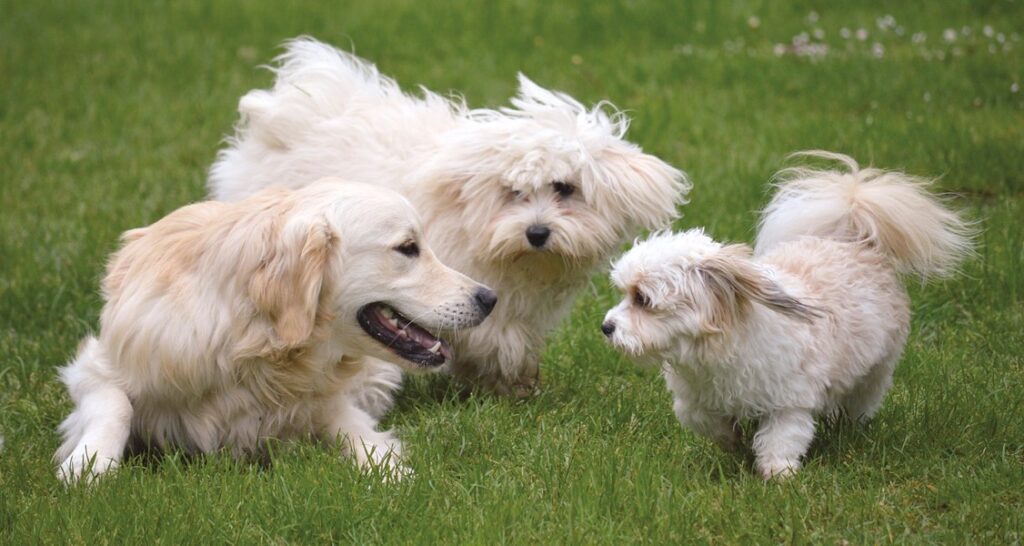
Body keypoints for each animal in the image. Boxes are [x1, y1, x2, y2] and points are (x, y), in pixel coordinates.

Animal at [56, 180, 495, 481]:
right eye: (407, 248)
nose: (489, 298)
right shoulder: (96, 364)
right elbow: (116, 404)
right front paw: (89, 465)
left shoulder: (328, 402)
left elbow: (355, 431)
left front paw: (391, 470)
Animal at [602, 152, 970, 477]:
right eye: (623, 292)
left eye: (642, 299)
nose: (606, 327)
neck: (719, 344)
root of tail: (856, 239)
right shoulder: (695, 398)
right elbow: (701, 419)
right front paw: (732, 439)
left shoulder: (789, 400)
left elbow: (782, 437)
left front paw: (778, 473)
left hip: (876, 369)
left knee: (861, 400)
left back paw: (850, 429)